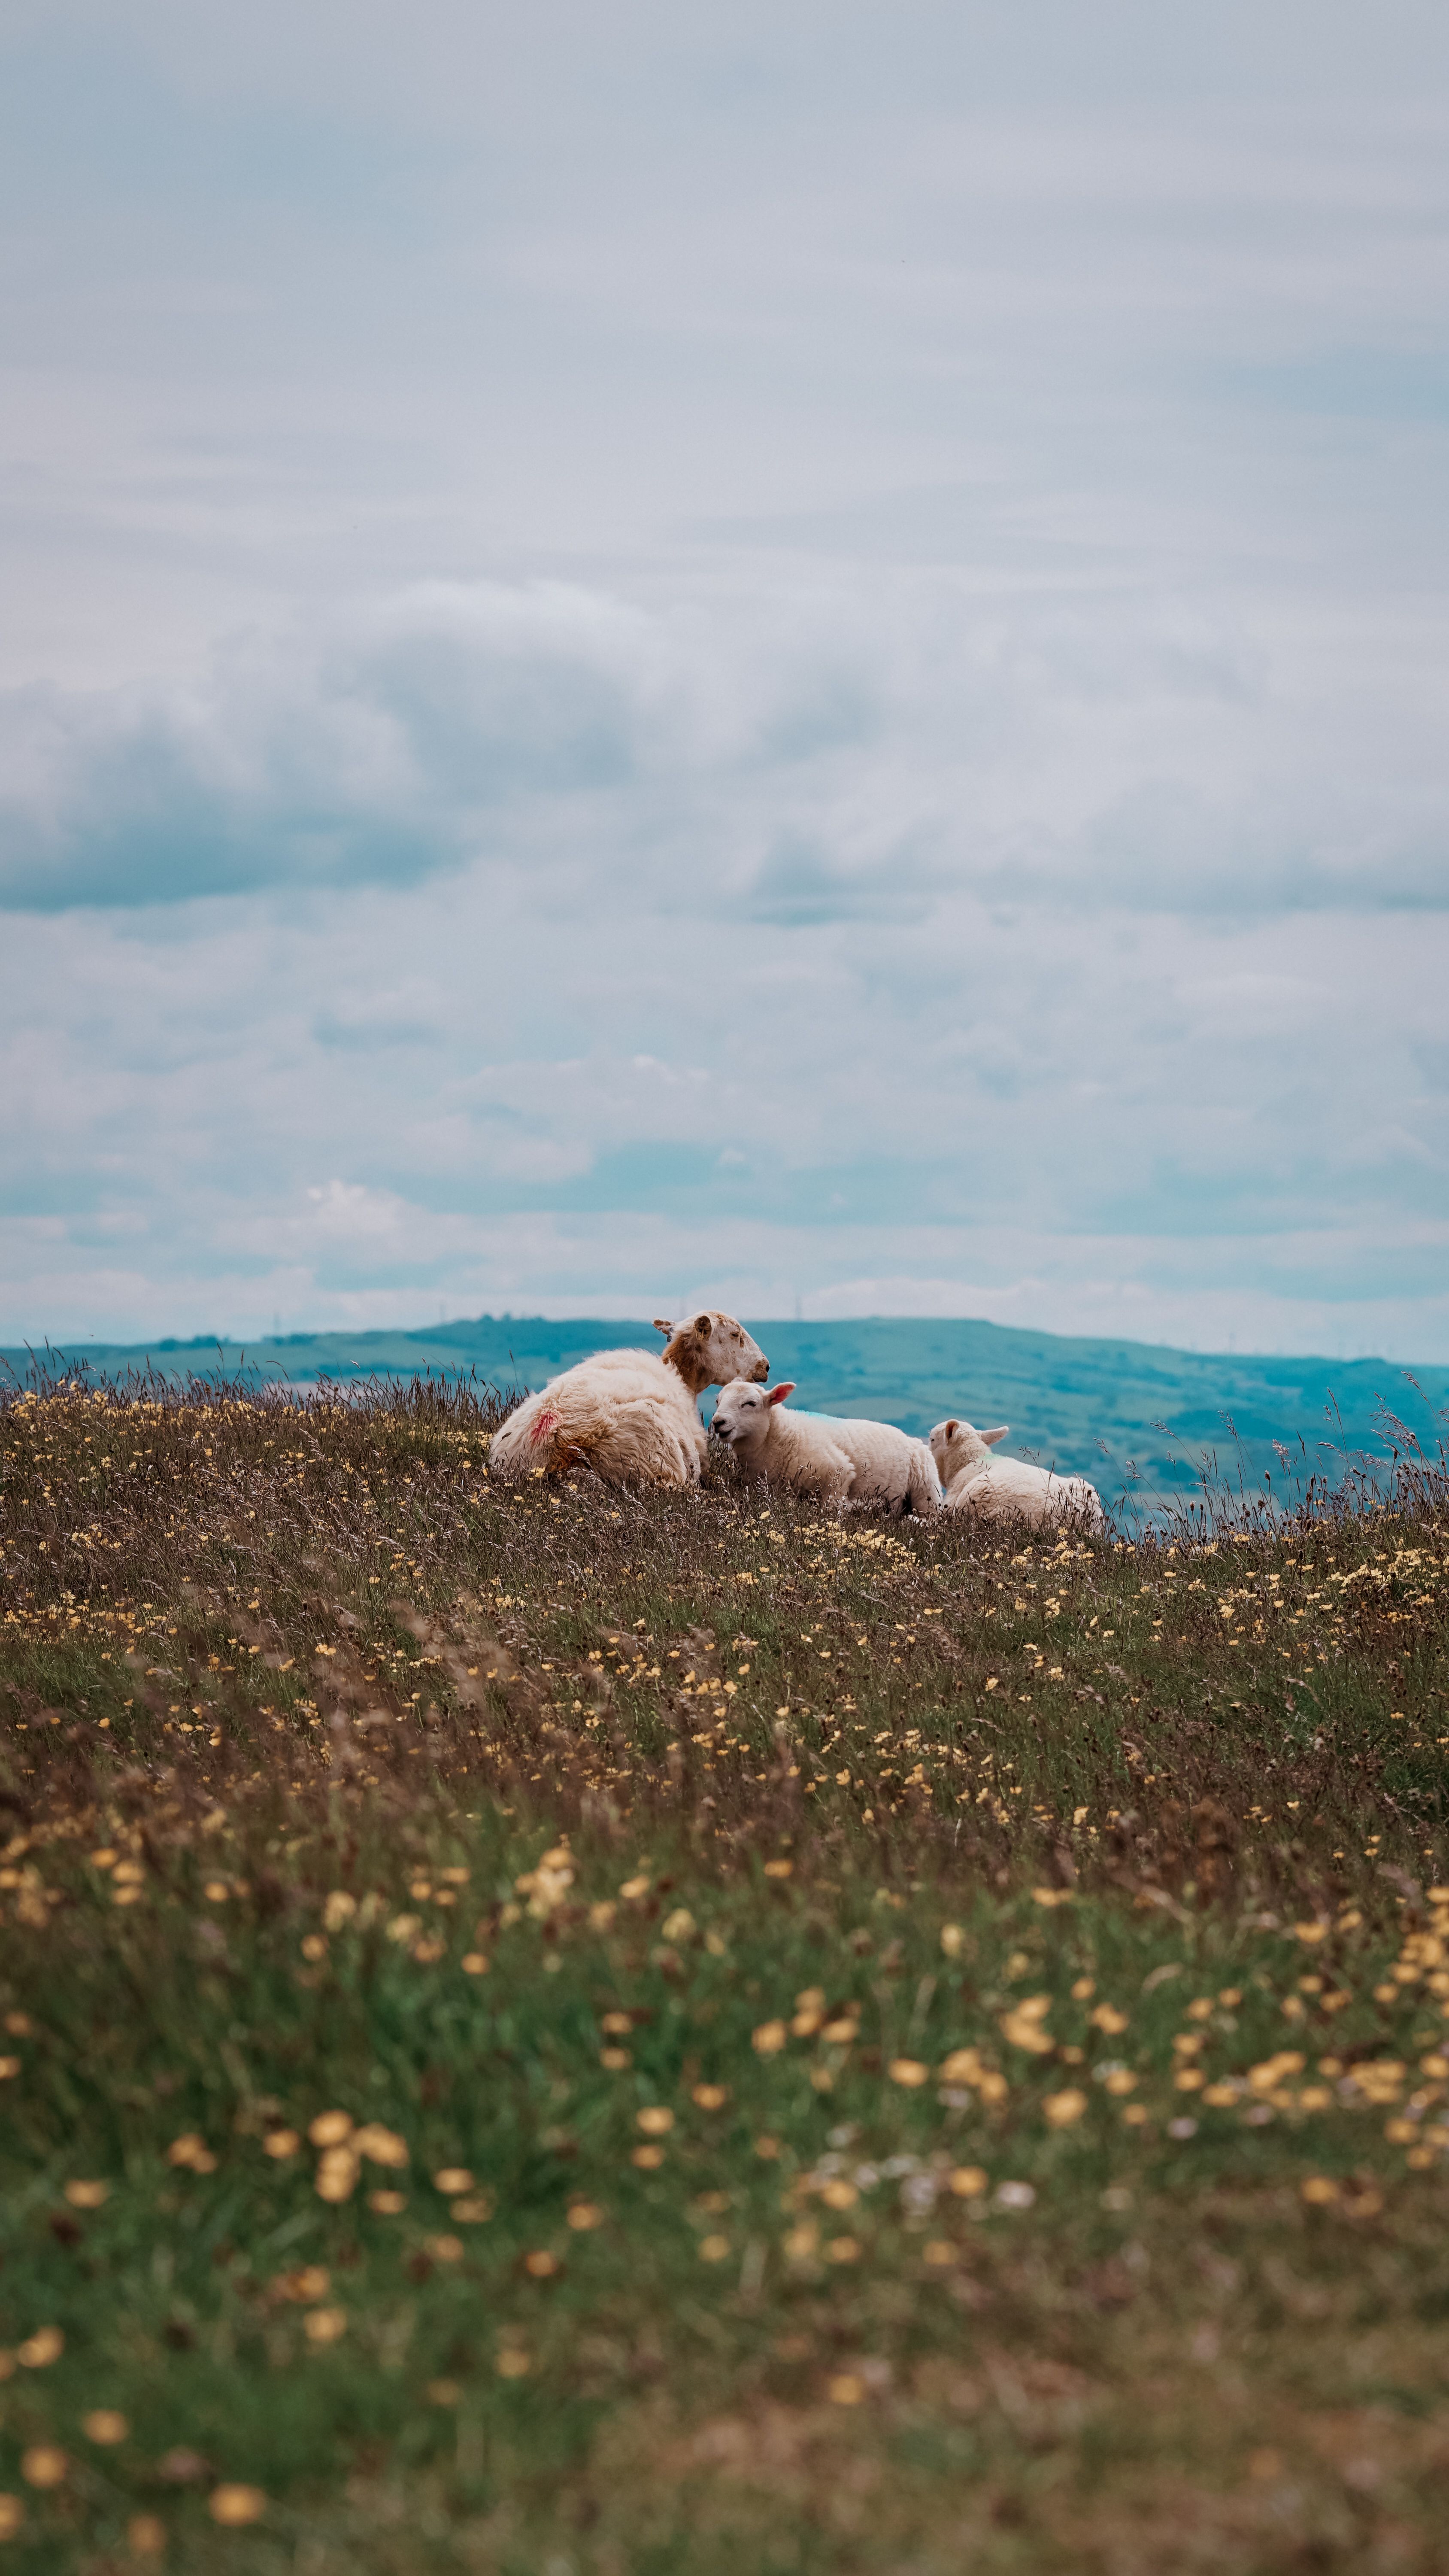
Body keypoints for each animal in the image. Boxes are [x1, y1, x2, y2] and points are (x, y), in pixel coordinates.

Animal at [712, 1381, 943, 1516]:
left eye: (751, 1403)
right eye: (717, 1401)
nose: (717, 1422)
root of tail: (911, 1439)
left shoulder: (838, 1470)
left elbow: (833, 1505)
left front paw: (867, 1505)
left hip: (927, 1490)